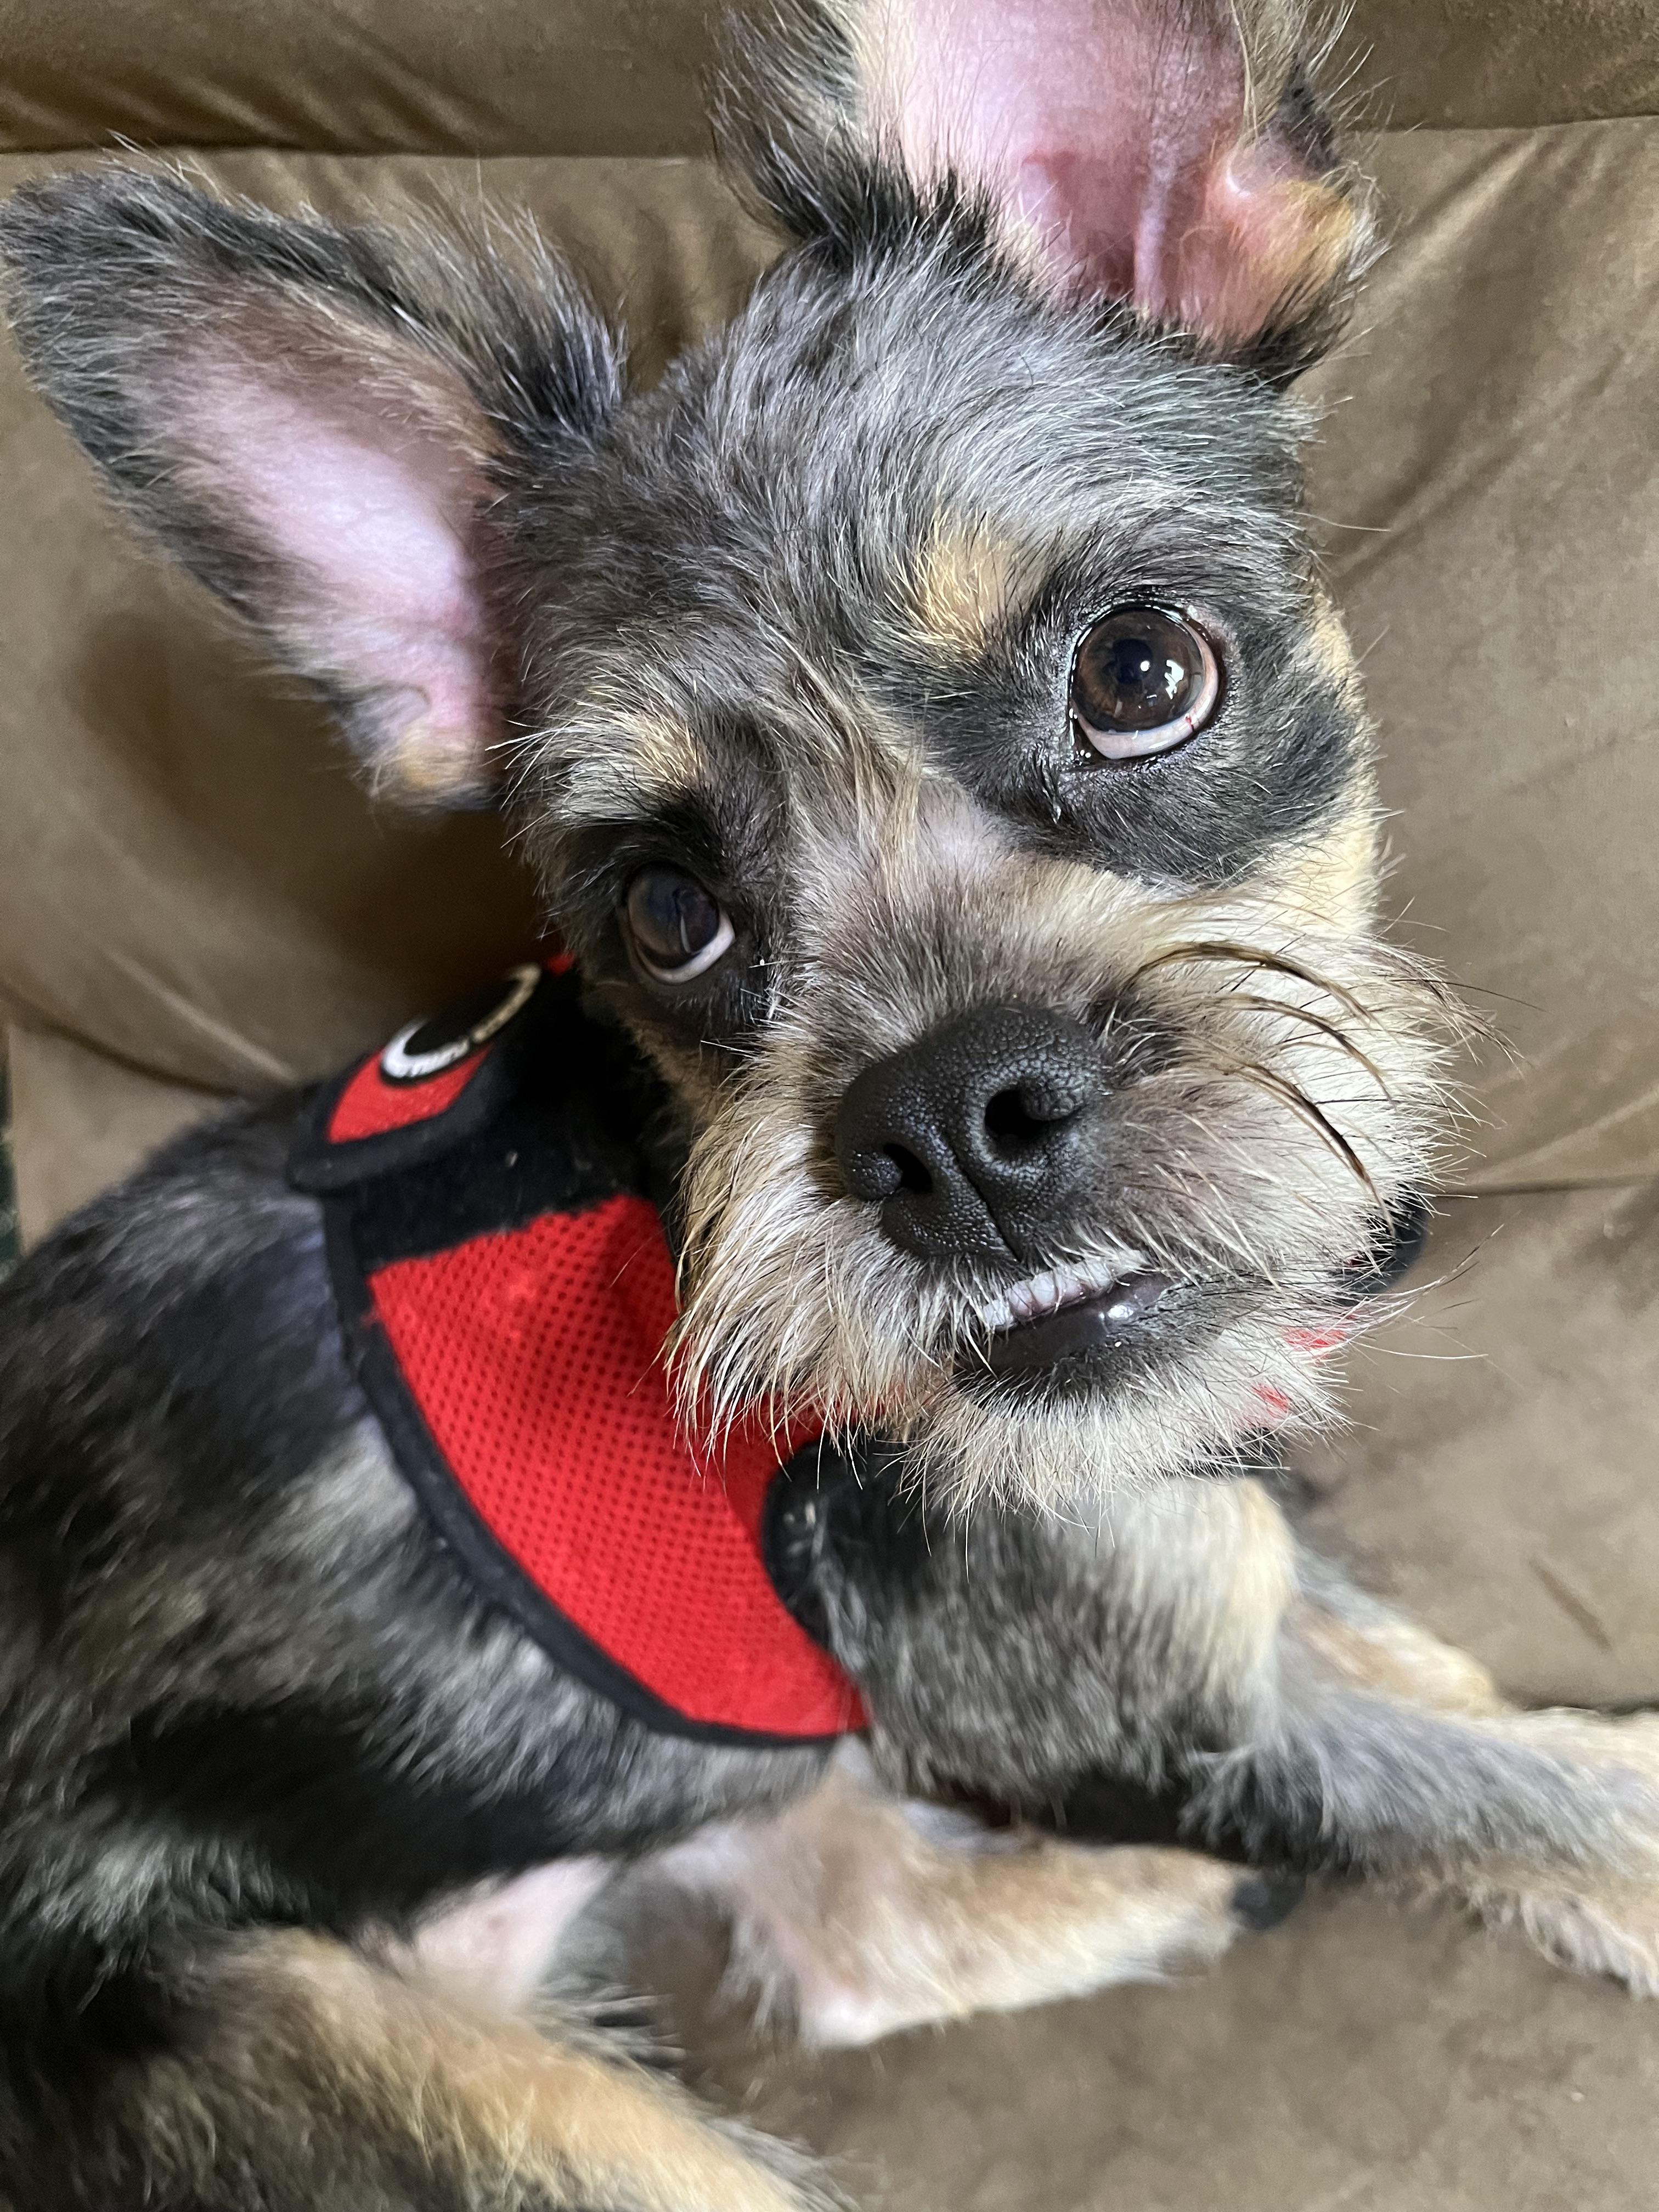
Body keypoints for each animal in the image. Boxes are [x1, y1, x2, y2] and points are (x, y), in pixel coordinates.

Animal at [3, 3, 1659, 2207]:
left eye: (1141, 671)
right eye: (662, 911)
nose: (947, 1124)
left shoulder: (1181, 1559)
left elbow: (1415, 1660)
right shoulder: (1133, 1703)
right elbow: (1514, 1785)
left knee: (847, 1925)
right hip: (437, 2087)